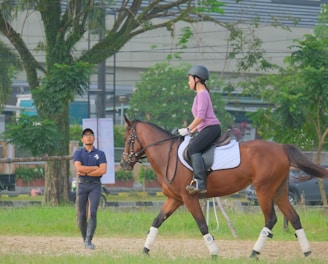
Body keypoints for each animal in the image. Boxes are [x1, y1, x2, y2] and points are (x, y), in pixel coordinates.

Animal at [120, 116, 328, 258]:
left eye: (128, 139)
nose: (123, 163)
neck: (168, 157)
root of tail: (281, 148)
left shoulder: (189, 198)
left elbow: (202, 225)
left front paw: (214, 253)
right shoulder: (175, 199)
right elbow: (156, 222)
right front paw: (145, 251)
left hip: (264, 190)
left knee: (271, 219)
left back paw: (254, 253)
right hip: (279, 191)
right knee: (294, 218)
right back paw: (307, 253)